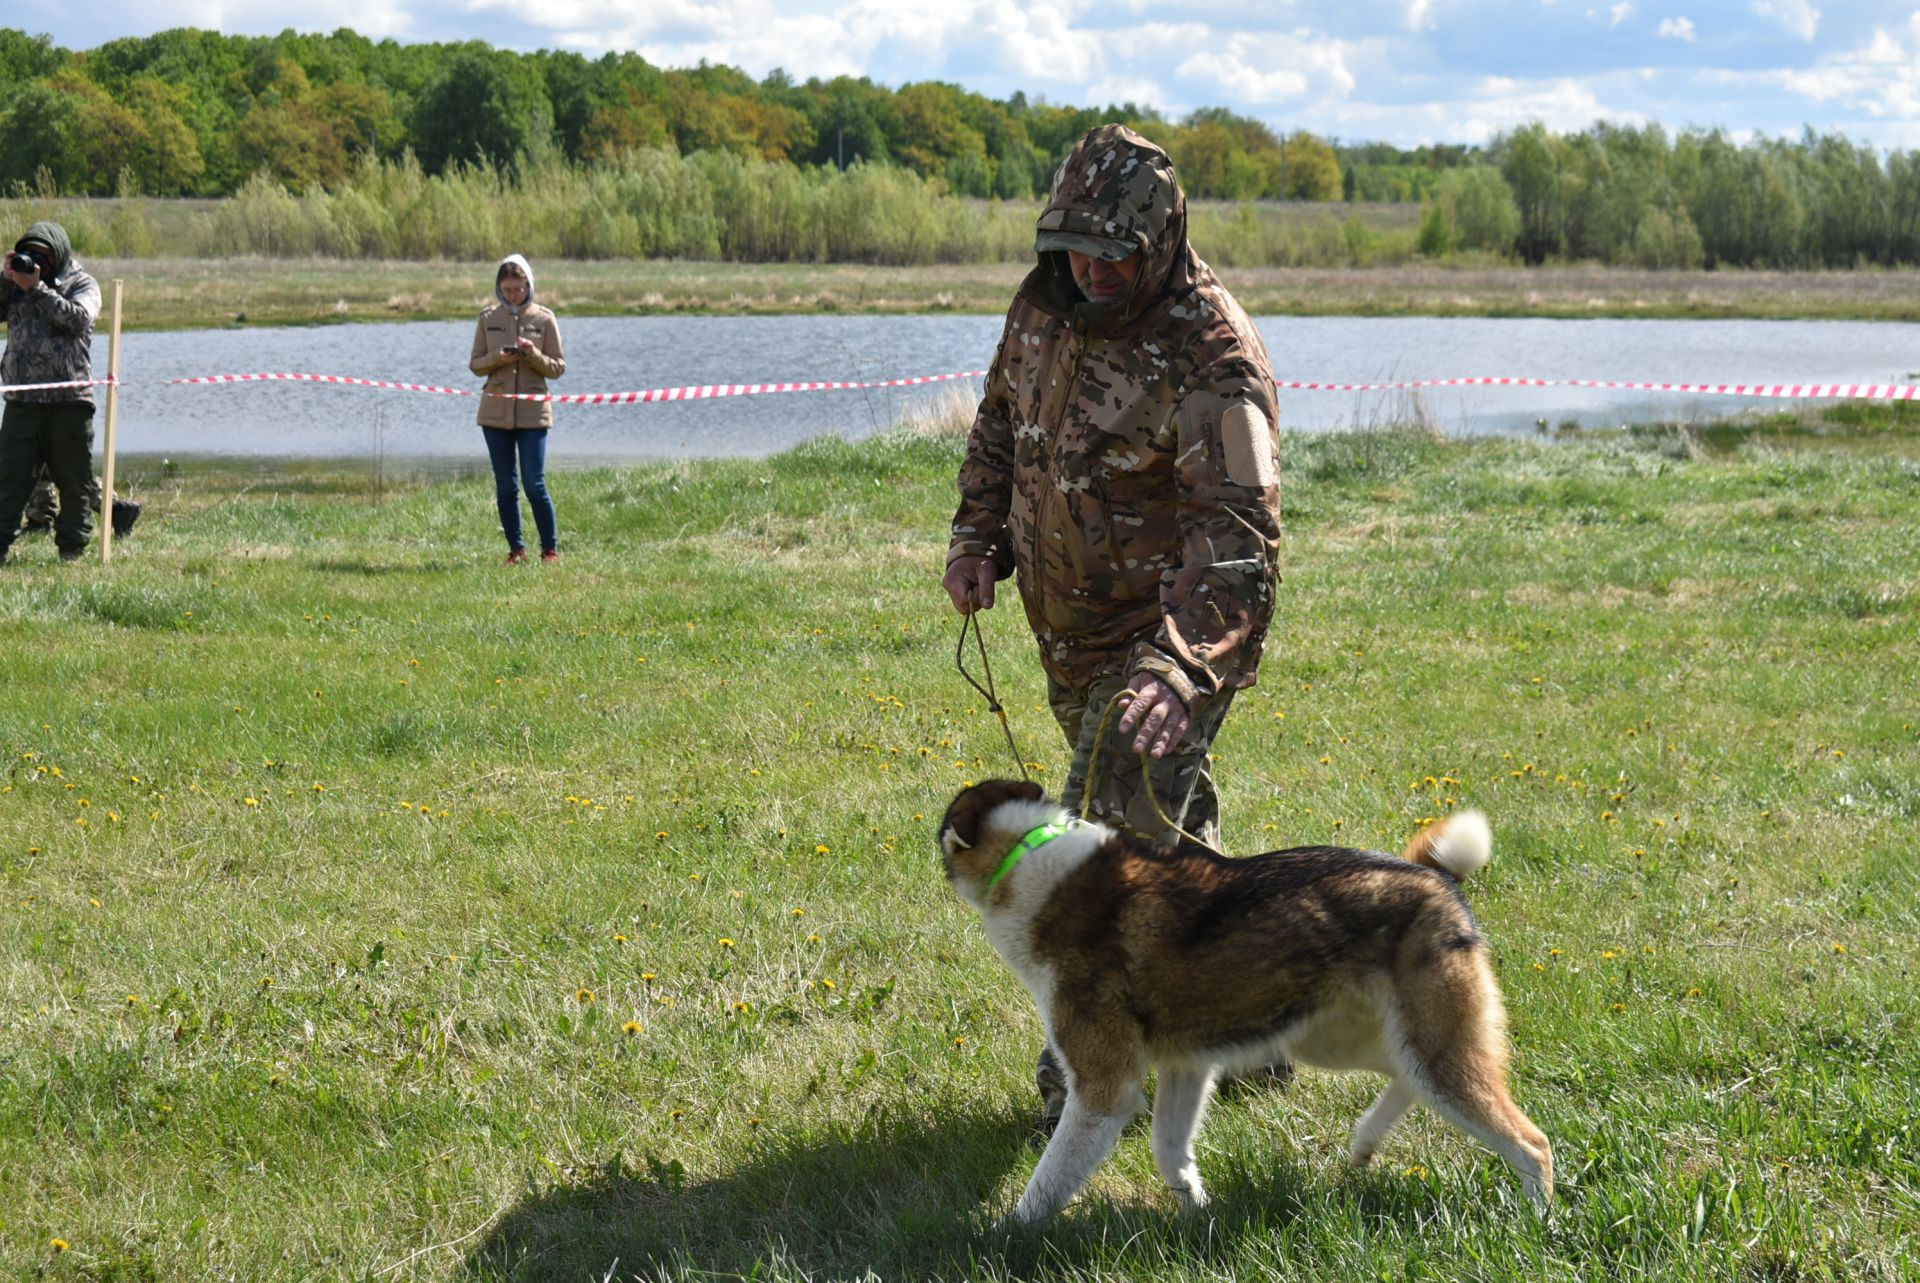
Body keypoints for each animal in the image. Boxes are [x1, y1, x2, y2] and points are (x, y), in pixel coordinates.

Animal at [936, 775, 1551, 1221]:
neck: (1026, 856)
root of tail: (1439, 878)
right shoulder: (1186, 1065)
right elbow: (1171, 1153)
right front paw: (1196, 1213)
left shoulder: (1104, 1086)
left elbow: (1047, 1182)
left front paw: (1006, 1236)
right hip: (1345, 1041)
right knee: (1407, 1081)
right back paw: (1364, 1143)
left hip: (1430, 1049)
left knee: (1530, 1143)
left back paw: (1536, 1222)